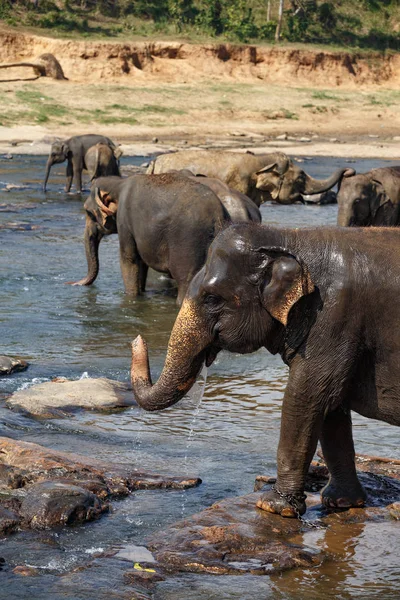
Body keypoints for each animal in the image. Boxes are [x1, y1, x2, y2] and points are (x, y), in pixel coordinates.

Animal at [130, 223, 400, 516]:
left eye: (212, 299)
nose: (137, 339)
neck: (289, 238)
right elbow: (331, 406)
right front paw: (341, 502)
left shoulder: (333, 320)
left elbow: (305, 397)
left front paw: (272, 506)